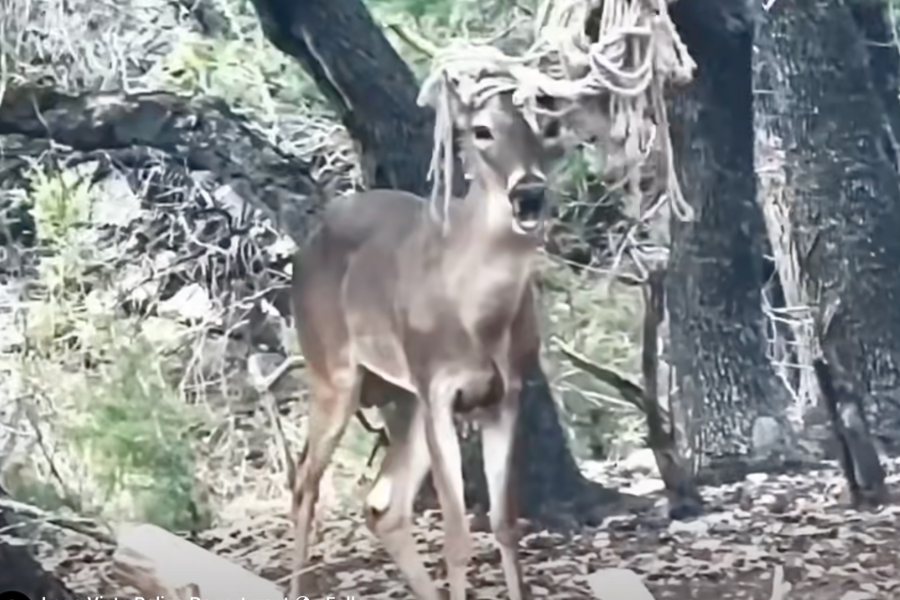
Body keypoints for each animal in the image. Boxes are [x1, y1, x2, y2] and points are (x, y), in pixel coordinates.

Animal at [287, 70, 563, 600]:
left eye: (547, 128)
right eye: (481, 130)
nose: (529, 193)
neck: (478, 318)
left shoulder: (505, 394)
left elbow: (504, 524)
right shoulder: (439, 390)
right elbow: (457, 535)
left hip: (401, 394)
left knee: (383, 505)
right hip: (333, 372)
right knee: (305, 481)